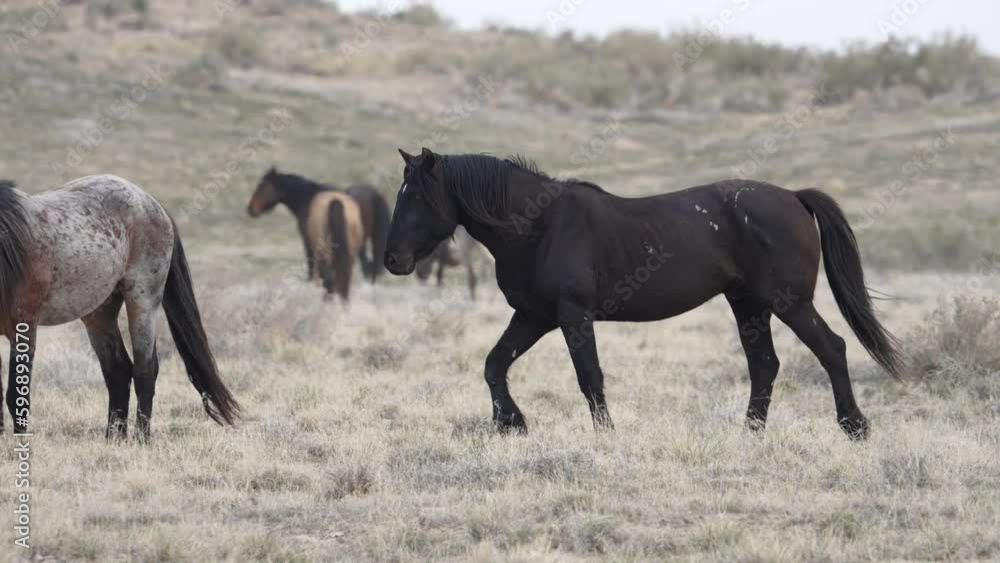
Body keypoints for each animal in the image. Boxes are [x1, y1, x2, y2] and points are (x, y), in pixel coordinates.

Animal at [0, 176, 240, 441]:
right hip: (99, 314)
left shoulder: (25, 325)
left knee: (145, 369)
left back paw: (141, 439)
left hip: (142, 303)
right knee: (118, 370)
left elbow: (16, 395)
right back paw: (114, 439)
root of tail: (153, 204)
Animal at [248, 168, 381, 300]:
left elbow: (312, 269)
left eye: (262, 186)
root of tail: (336, 202)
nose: (250, 209)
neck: (307, 198)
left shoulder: (309, 244)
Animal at [384, 148, 904, 440]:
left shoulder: (572, 316)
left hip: (789, 303)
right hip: (748, 305)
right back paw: (750, 434)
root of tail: (794, 197)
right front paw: (511, 424)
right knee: (765, 366)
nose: (393, 260)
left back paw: (854, 427)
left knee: (831, 349)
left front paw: (605, 435)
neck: (538, 225)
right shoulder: (533, 317)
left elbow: (589, 377)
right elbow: (494, 364)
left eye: (417, 196)